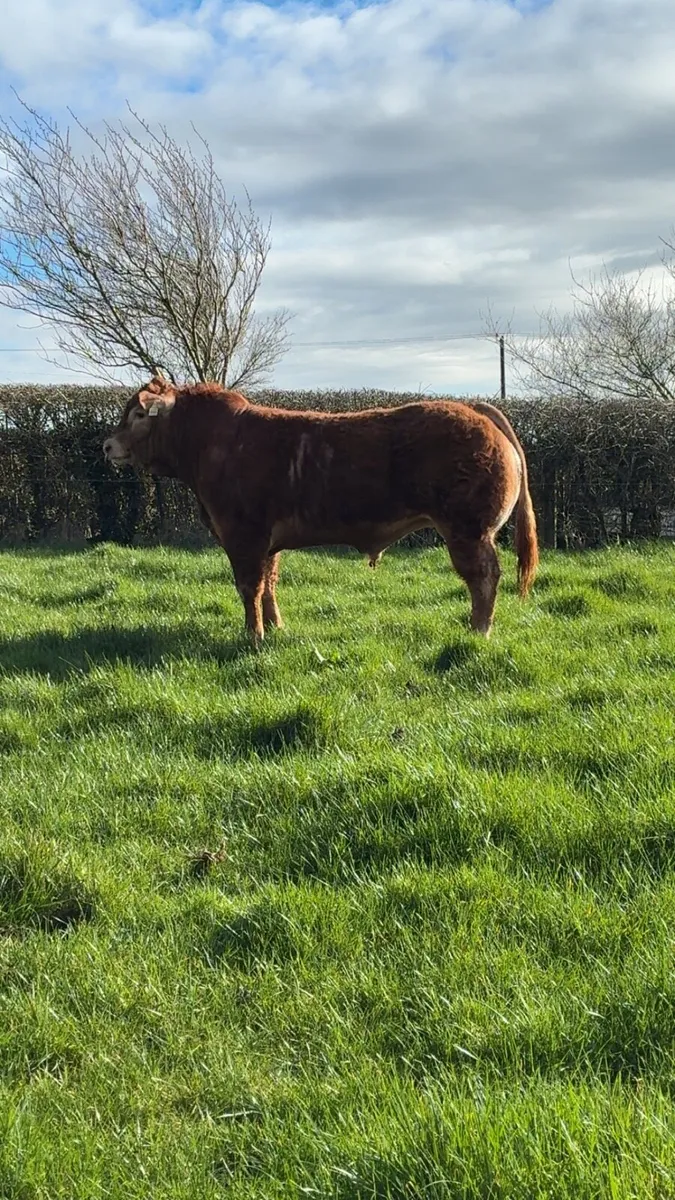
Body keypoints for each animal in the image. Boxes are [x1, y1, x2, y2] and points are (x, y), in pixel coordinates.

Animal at [103, 376, 538, 641]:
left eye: (138, 414)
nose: (108, 445)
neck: (210, 446)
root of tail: (475, 408)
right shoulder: (267, 541)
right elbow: (269, 583)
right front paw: (276, 627)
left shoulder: (243, 534)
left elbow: (249, 586)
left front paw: (253, 635)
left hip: (468, 530)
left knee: (484, 577)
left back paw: (478, 630)